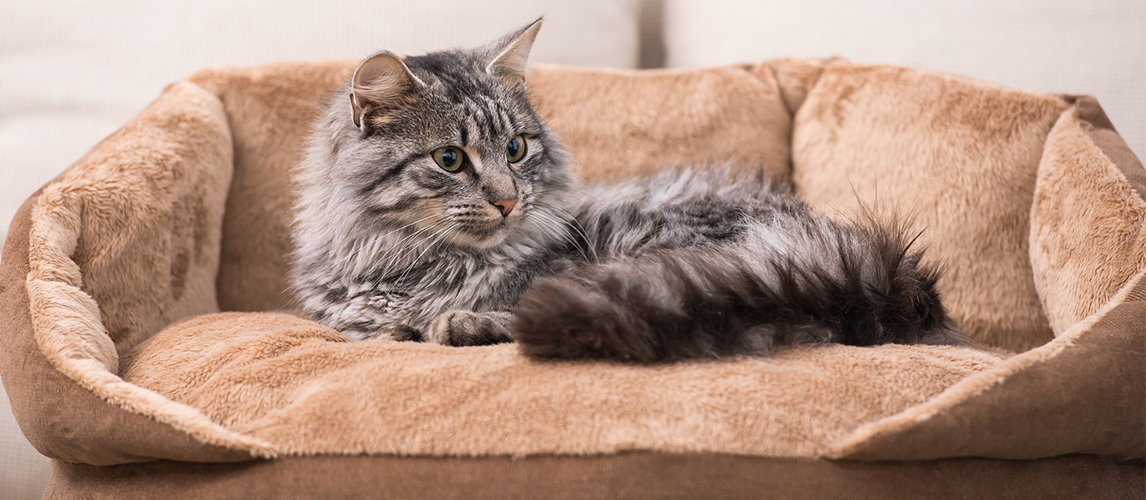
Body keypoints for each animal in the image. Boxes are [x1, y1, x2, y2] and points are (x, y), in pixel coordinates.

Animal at [288, 20, 967, 362]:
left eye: (516, 150)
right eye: (450, 159)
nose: (508, 200)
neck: (408, 262)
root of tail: (886, 272)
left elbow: (469, 315)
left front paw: (453, 323)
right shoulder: (346, 319)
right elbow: (372, 332)